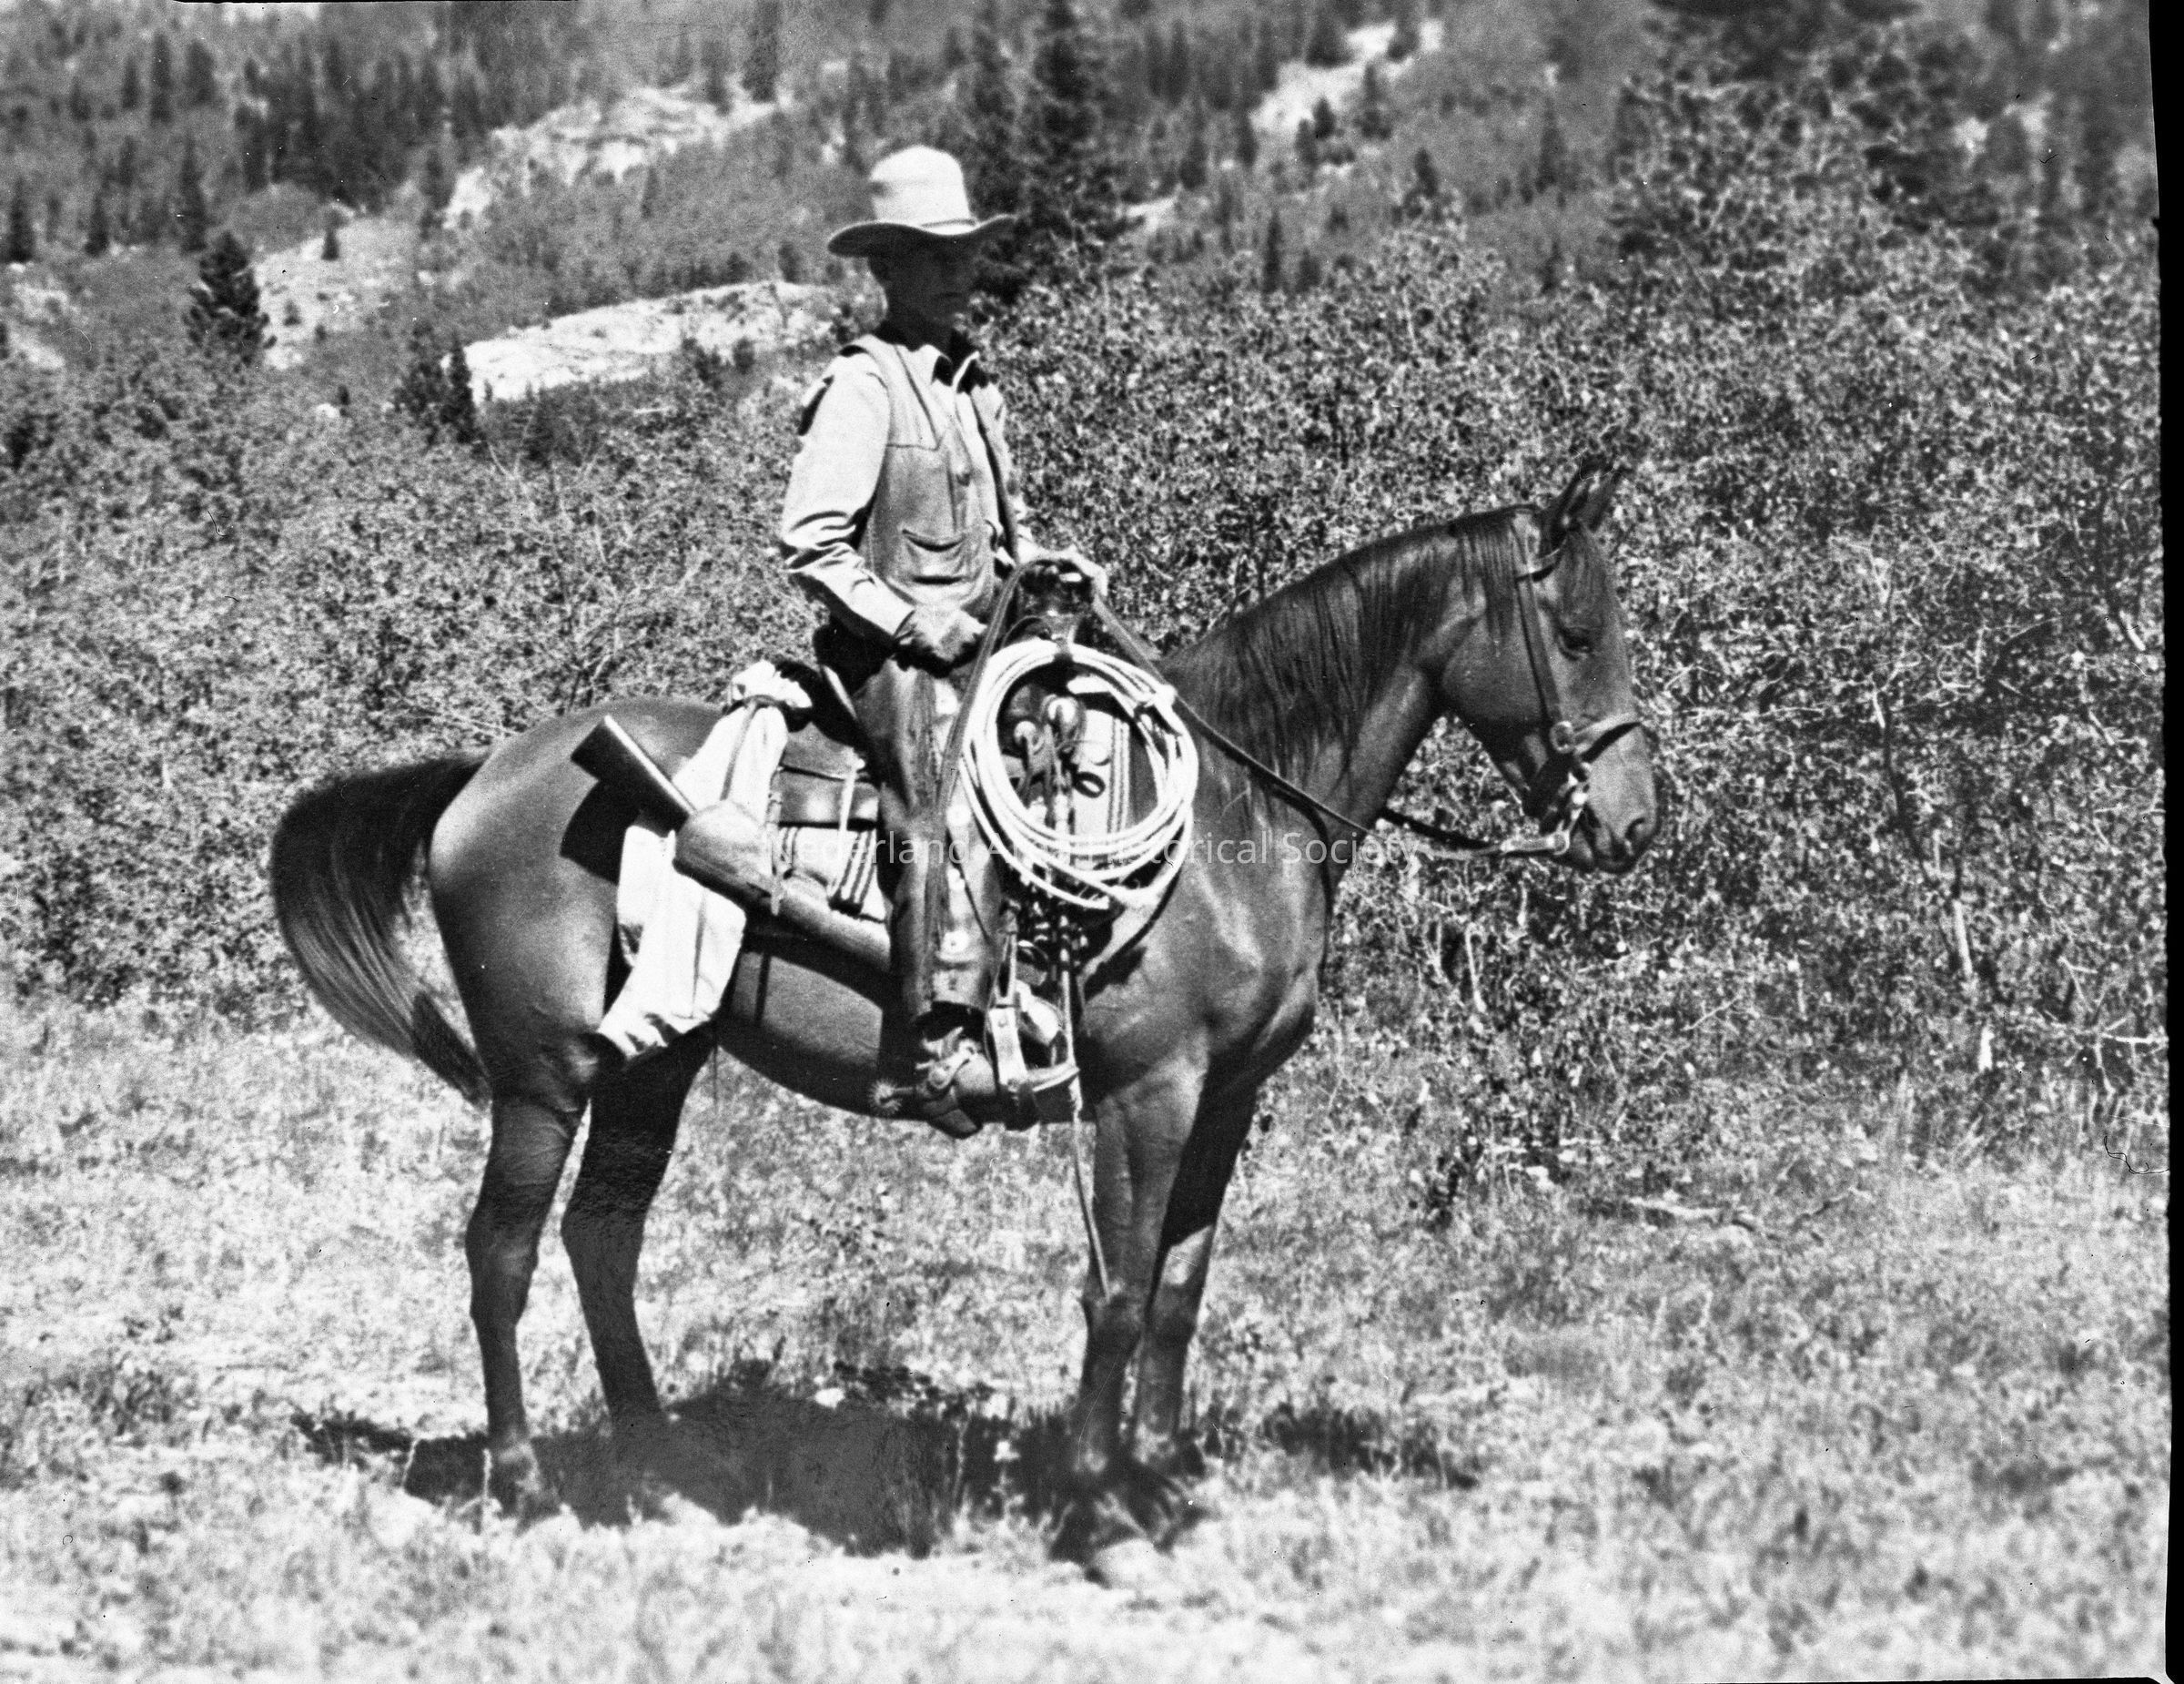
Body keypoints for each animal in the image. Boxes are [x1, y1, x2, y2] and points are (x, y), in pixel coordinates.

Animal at [270, 462, 1657, 1579]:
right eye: (1578, 630)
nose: (1633, 822)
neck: (1234, 817)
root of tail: (481, 776)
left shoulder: (1230, 1096)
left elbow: (1182, 1285)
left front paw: (1163, 1475)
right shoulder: (1149, 1094)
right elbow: (1119, 1291)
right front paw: (1099, 1508)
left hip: (653, 1065)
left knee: (601, 1241)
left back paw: (661, 1469)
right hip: (542, 1076)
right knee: (500, 1253)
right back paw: (526, 1483)